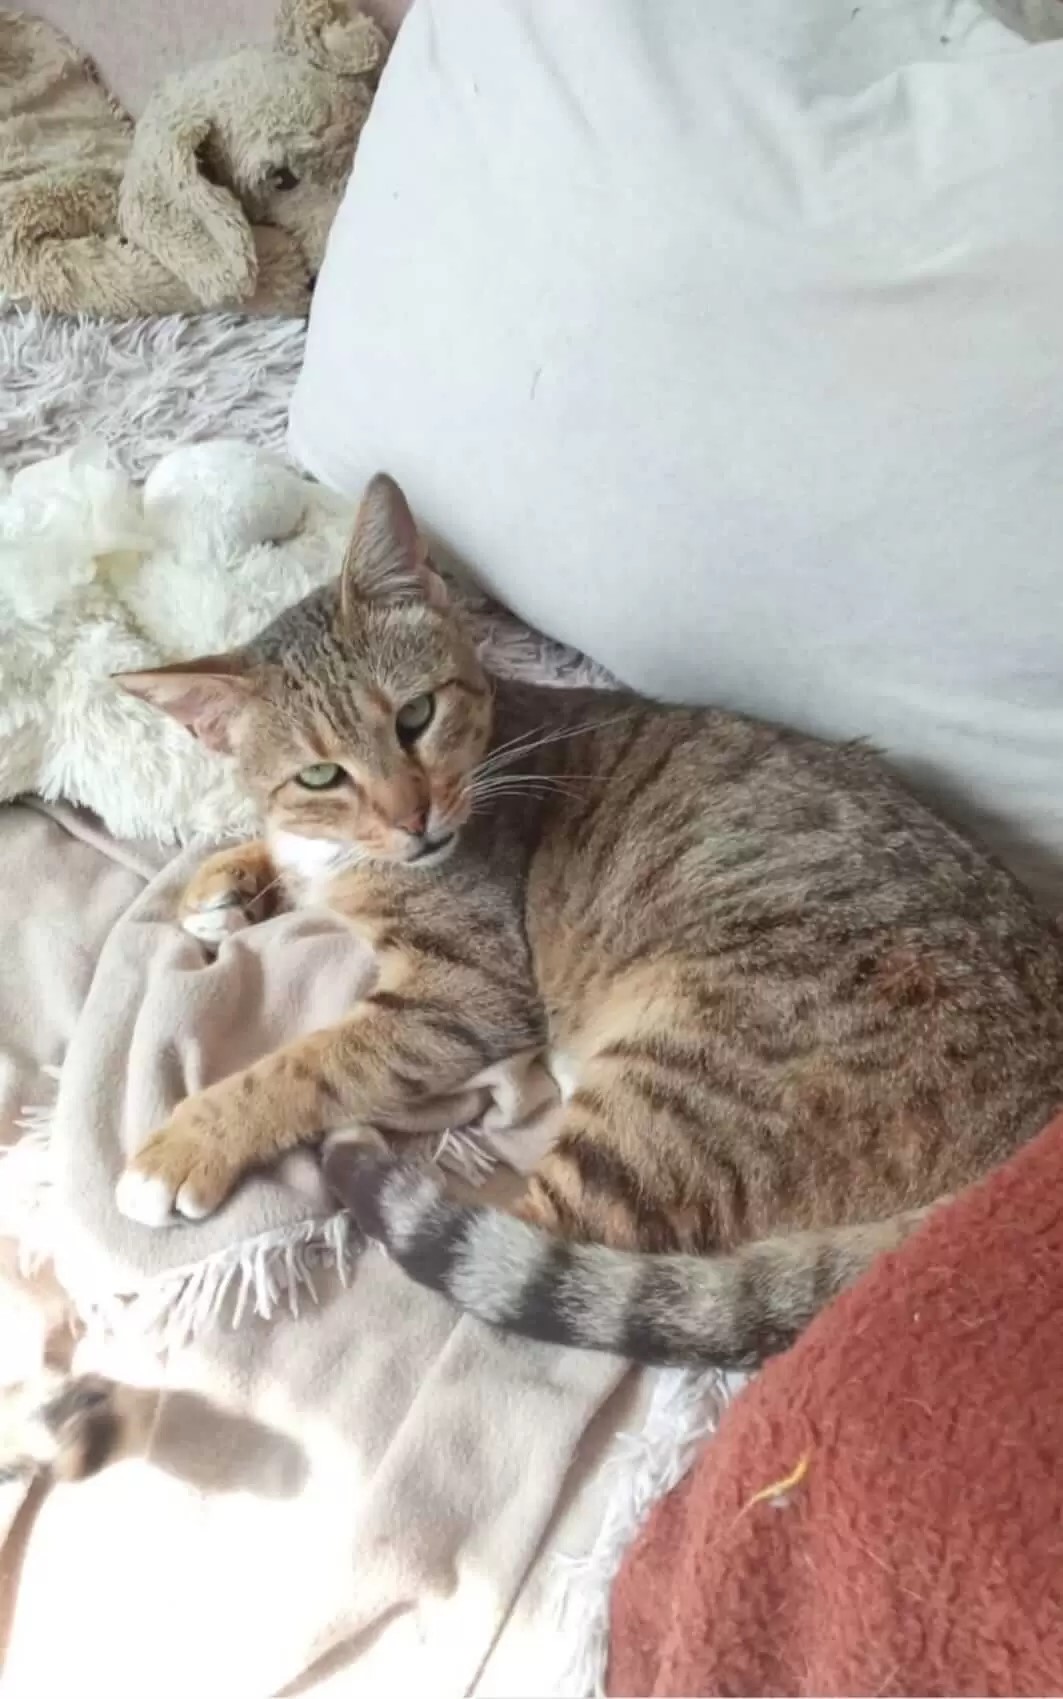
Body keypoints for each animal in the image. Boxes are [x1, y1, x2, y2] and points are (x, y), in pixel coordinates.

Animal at [4, 468, 1063, 1485]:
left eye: (416, 715)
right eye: (319, 775)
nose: (413, 818)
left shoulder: (464, 993)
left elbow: (304, 1063)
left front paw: (186, 1143)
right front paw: (232, 876)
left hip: (683, 1073)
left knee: (519, 1250)